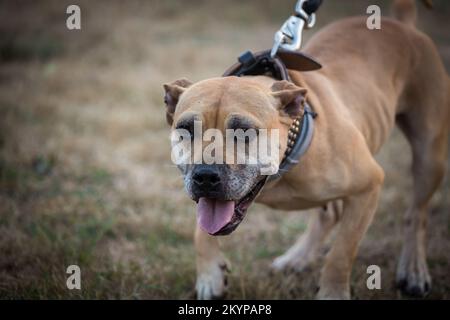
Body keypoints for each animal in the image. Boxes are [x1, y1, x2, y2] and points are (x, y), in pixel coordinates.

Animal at [163, 0, 448, 300]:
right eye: (186, 129)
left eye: (245, 131)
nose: (205, 176)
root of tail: (403, 25)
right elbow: (201, 228)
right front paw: (210, 275)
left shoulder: (369, 186)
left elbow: (342, 251)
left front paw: (333, 292)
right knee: (330, 214)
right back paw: (296, 258)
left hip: (430, 157)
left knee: (416, 214)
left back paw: (414, 270)